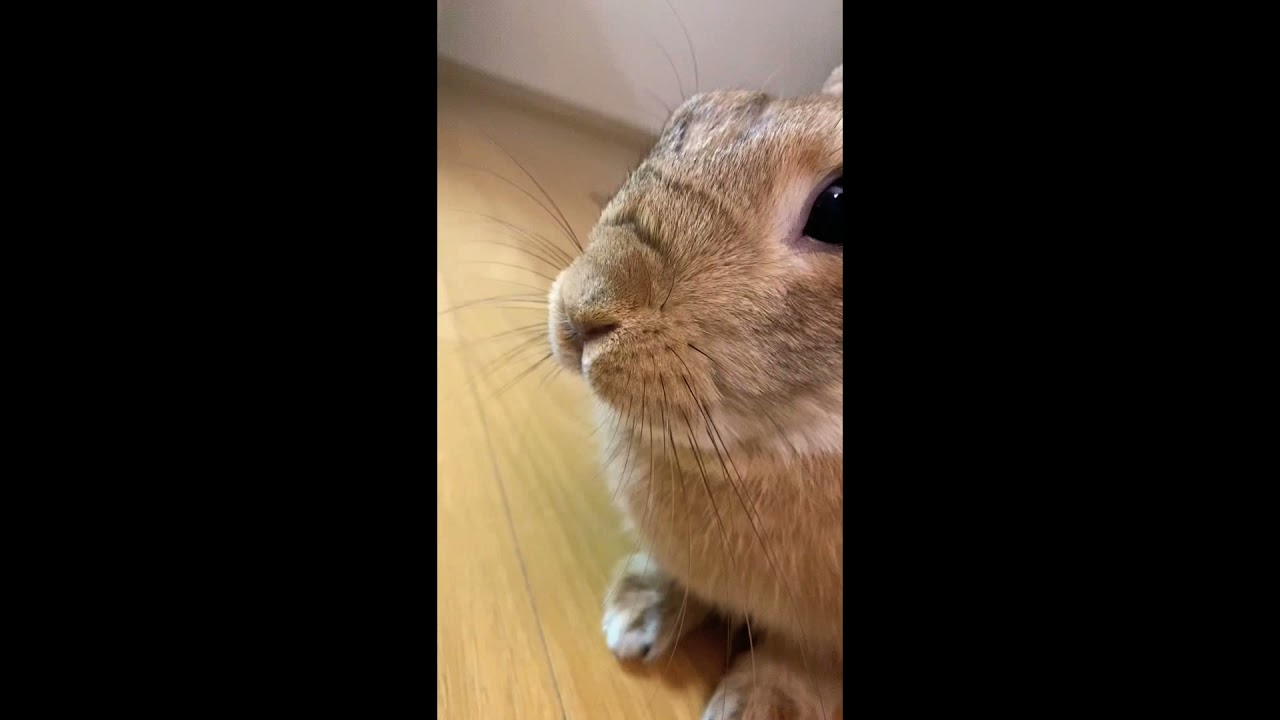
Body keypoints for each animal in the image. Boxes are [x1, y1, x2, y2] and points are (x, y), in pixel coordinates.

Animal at [548, 64, 844, 720]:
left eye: (840, 210)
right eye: (686, 122)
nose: (581, 313)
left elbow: (808, 663)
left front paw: (757, 705)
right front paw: (636, 614)